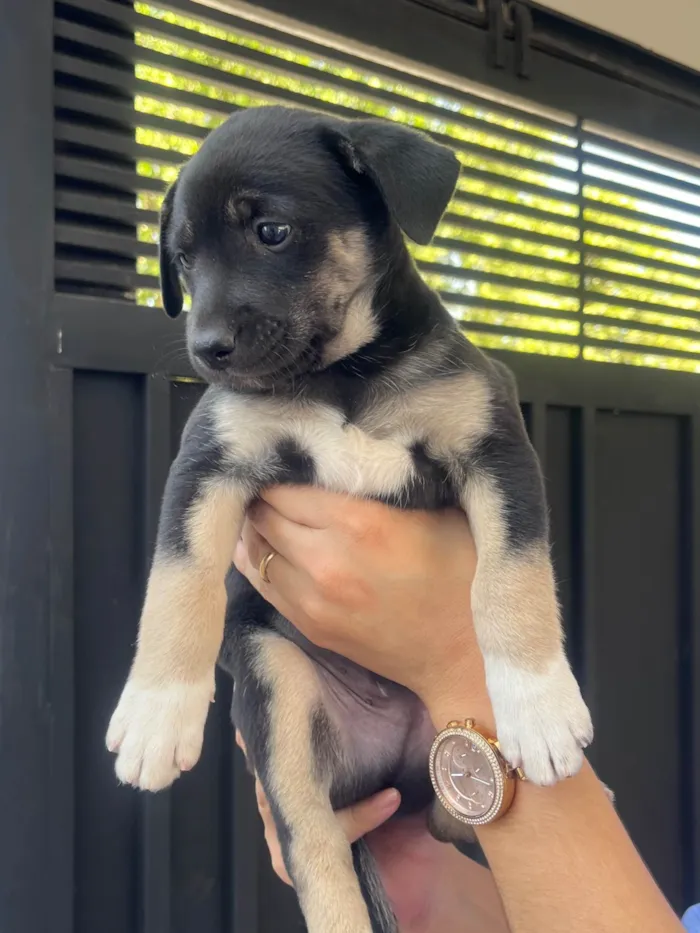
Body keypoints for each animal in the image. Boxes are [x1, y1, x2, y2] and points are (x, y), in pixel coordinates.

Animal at [106, 105, 592, 928]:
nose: (206, 350)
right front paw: (155, 710)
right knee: (317, 850)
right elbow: (178, 583)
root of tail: (393, 768)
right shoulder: (209, 462)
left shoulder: (496, 448)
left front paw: (538, 700)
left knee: (446, 822)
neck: (343, 374)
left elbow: (511, 580)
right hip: (278, 687)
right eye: (183, 259)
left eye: (271, 231)